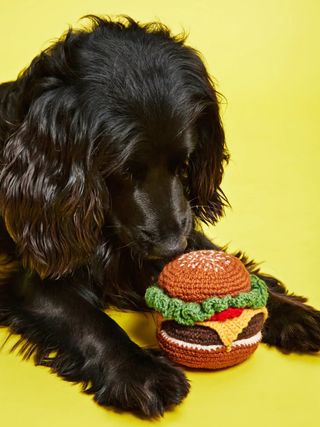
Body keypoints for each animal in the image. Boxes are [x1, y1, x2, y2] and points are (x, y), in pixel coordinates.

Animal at [0, 16, 318, 418]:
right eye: (122, 170)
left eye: (183, 162)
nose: (171, 249)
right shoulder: (37, 276)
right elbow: (92, 322)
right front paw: (142, 372)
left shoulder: (185, 228)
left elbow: (235, 268)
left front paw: (292, 311)